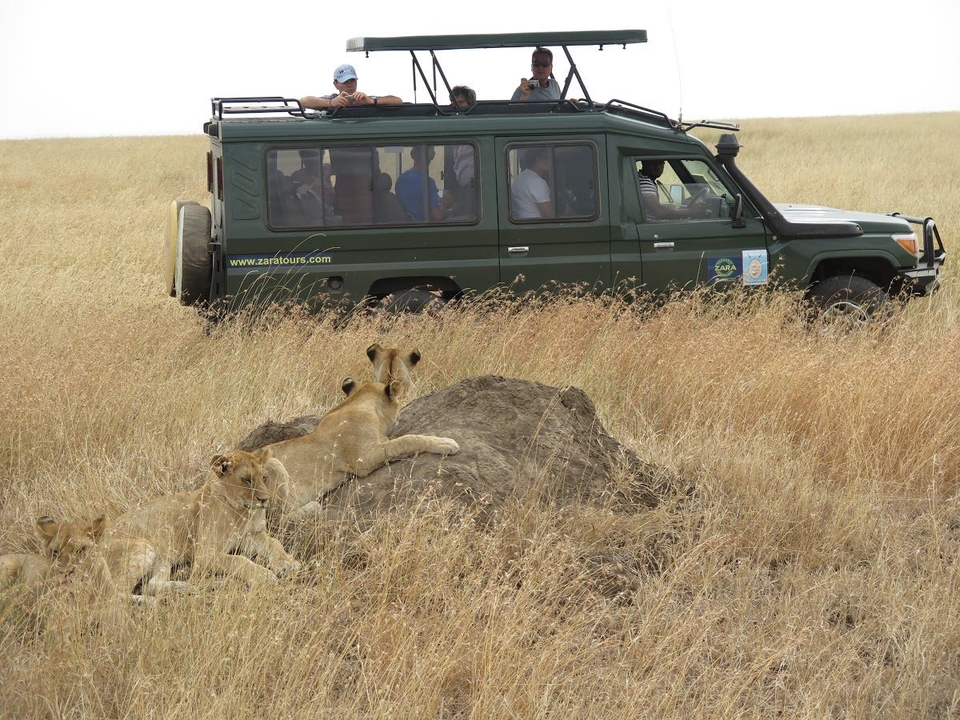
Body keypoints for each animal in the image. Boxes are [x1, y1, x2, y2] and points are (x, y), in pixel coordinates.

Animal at [91, 448, 301, 599]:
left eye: (264, 477)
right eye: (246, 480)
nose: (265, 500)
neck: (240, 512)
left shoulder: (251, 535)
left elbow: (274, 543)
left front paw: (286, 563)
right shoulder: (205, 554)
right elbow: (238, 560)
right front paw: (263, 575)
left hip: (163, 556)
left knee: (152, 585)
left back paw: (194, 587)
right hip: (142, 546)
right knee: (114, 594)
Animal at [263, 378, 459, 524]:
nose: (400, 415)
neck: (356, 403)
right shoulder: (364, 459)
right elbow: (407, 440)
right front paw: (445, 443)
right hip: (272, 465)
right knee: (277, 518)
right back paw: (312, 507)